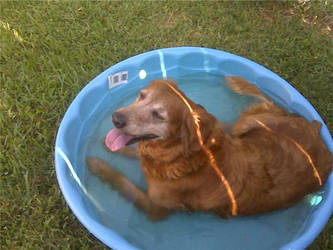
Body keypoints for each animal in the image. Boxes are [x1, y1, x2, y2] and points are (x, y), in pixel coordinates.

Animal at [87, 76, 330, 221]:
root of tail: (316, 127)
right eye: (142, 95)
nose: (116, 118)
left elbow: (125, 184)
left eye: (158, 115)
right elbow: (137, 152)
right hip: (247, 124)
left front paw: (98, 165)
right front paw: (109, 146)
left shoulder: (157, 208)